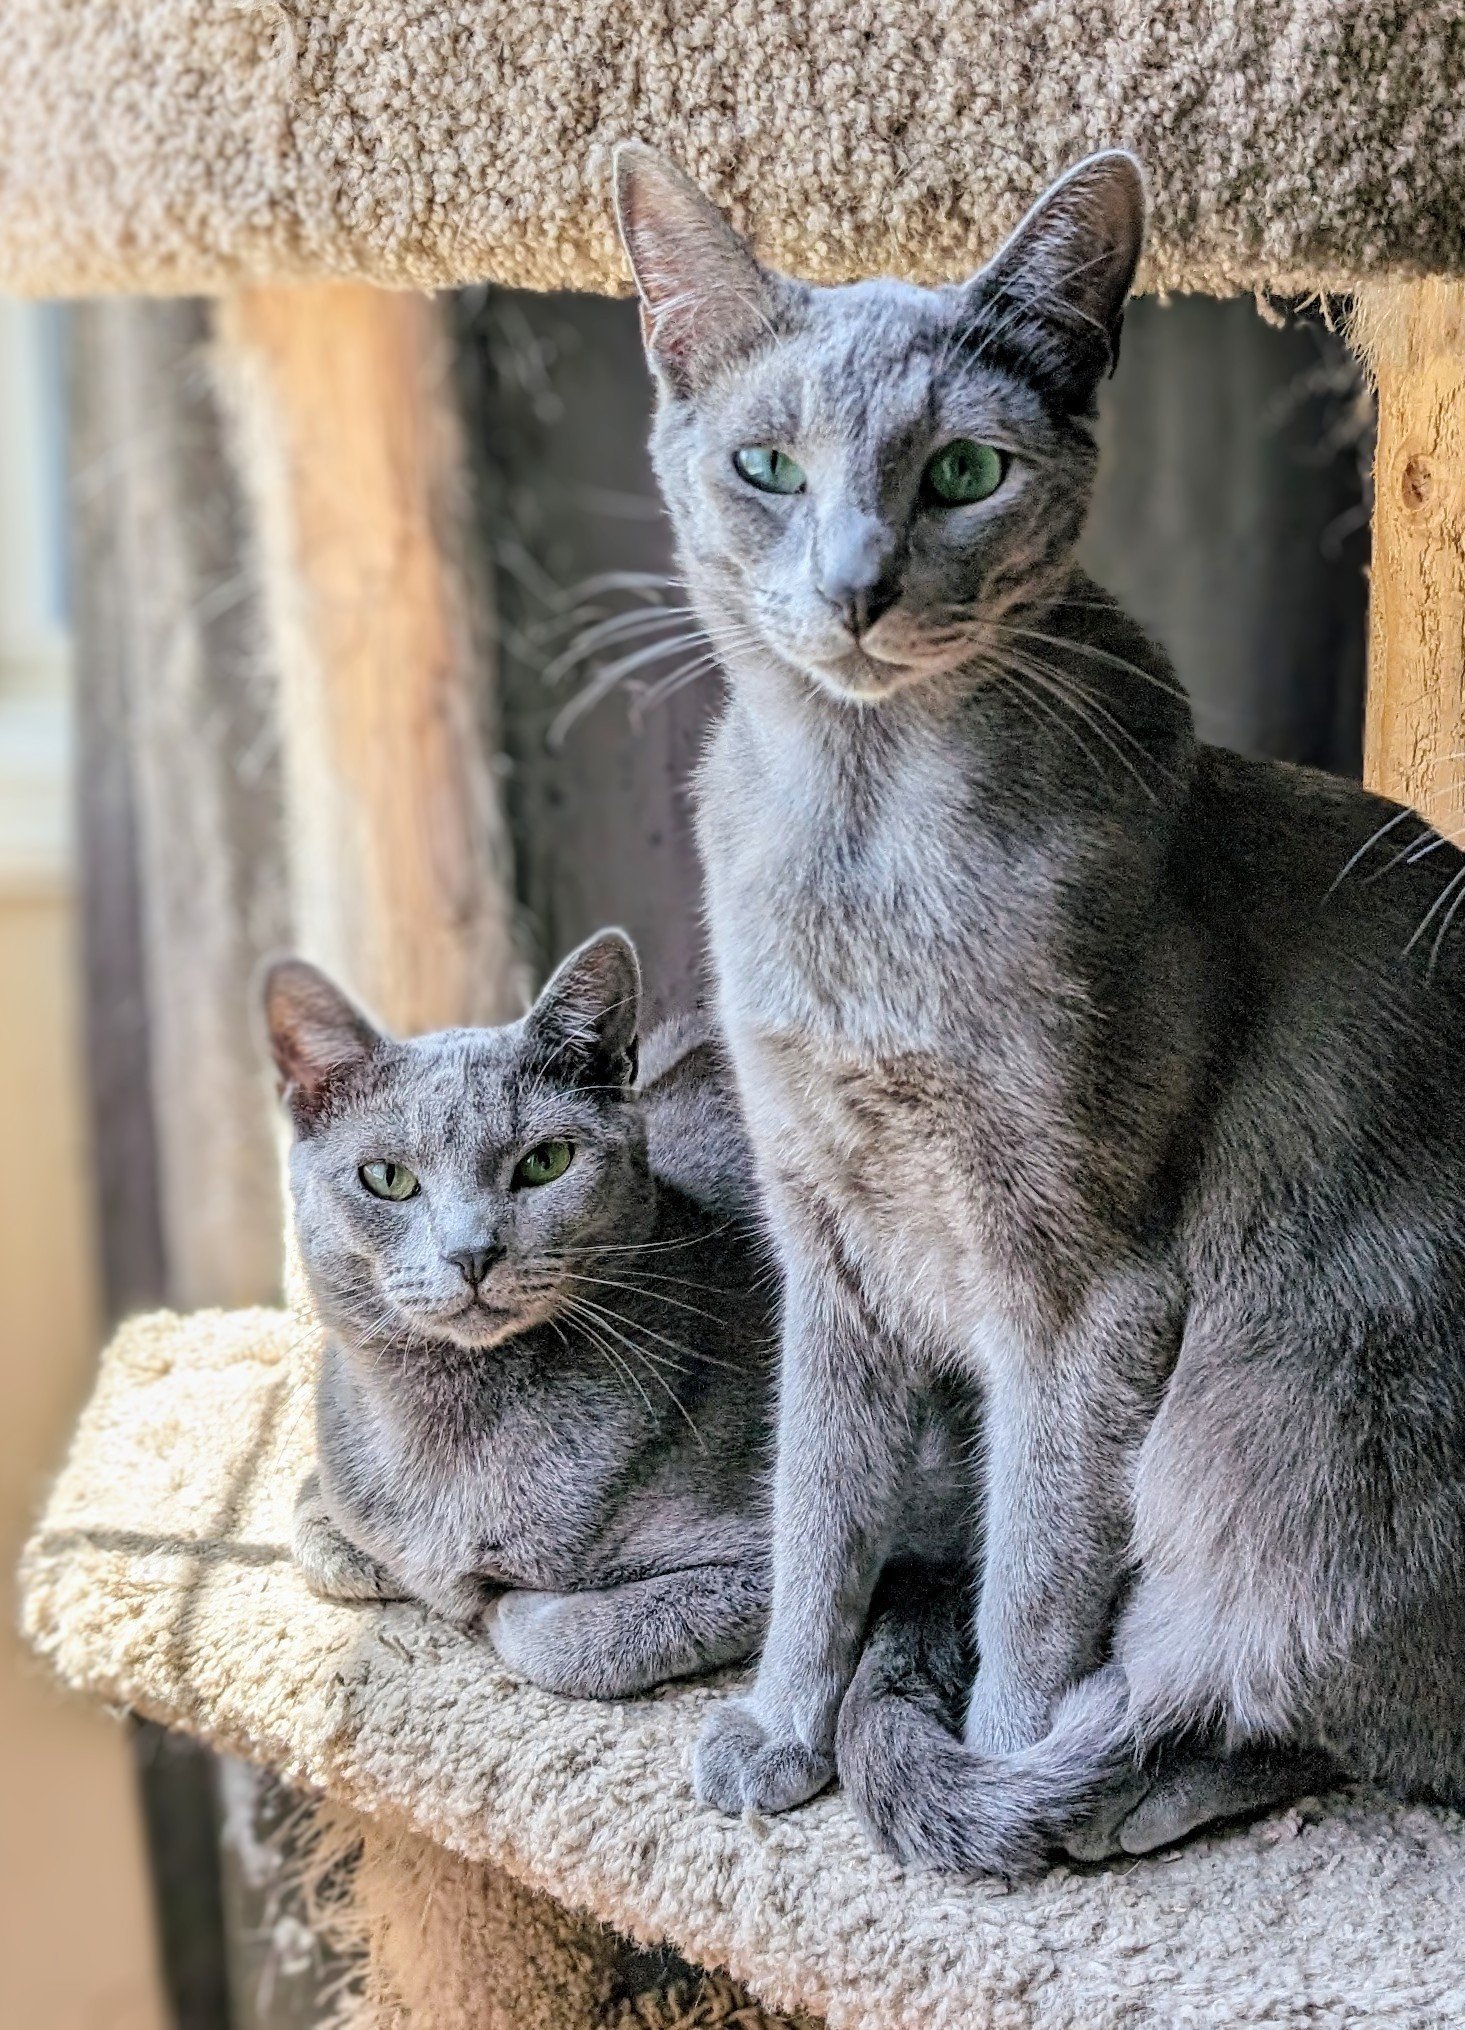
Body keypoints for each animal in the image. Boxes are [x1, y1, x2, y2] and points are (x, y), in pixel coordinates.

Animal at [269, 929, 783, 1697]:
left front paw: (500, 1601)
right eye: (386, 1178)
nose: (472, 1252)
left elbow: (561, 1638)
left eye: (546, 1162)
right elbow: (322, 1529)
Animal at [608, 150, 1460, 1875]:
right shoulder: (824, 1243)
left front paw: (989, 1777)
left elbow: (1035, 1569)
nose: (856, 585)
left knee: (1295, 1700)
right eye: (765, 467)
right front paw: (782, 1728)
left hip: (1284, 1408)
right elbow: (816, 1517)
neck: (858, 844)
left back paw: (1110, 1792)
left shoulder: (1084, 1290)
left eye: (962, 472)